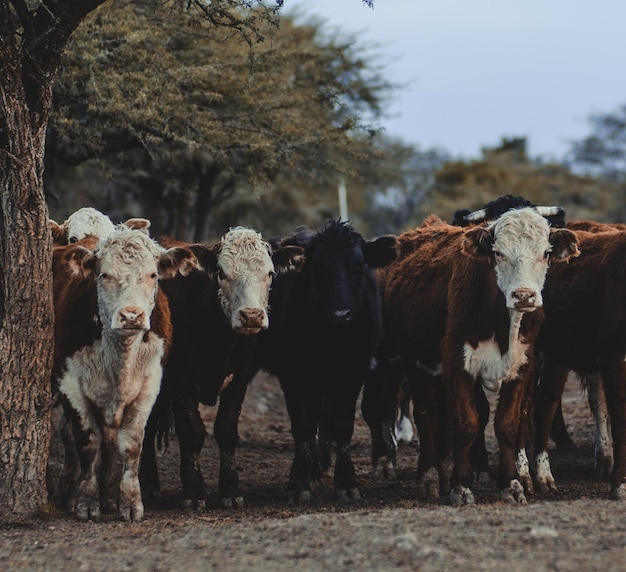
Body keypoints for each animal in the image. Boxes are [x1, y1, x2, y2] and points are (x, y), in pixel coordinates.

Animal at [143, 226, 304, 508]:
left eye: (270, 273)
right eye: (221, 273)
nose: (251, 316)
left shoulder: (241, 376)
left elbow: (226, 430)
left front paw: (230, 489)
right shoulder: (179, 377)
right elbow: (191, 431)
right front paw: (194, 492)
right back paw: (148, 484)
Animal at [252, 221, 394, 502]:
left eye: (359, 265)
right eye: (318, 267)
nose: (341, 313)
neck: (332, 339)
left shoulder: (353, 374)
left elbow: (342, 426)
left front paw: (346, 482)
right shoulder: (293, 376)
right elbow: (303, 427)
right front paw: (299, 483)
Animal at [368, 207, 576, 504]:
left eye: (546, 253)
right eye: (498, 253)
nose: (524, 296)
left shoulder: (522, 367)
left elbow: (507, 425)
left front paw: (511, 484)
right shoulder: (459, 365)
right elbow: (466, 424)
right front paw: (462, 487)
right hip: (414, 361)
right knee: (426, 415)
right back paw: (428, 478)